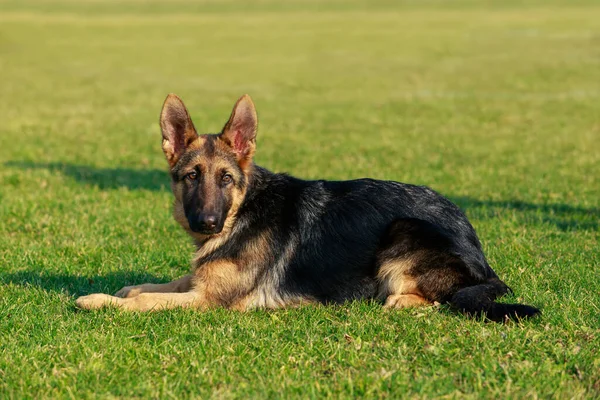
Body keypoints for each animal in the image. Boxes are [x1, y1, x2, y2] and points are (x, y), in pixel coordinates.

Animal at [75, 94, 540, 322]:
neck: (243, 213)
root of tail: (480, 255)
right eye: (191, 176)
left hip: (404, 230)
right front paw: (125, 289)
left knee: (439, 299)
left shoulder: (209, 300)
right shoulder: (201, 281)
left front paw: (98, 301)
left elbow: (147, 302)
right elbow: (155, 286)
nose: (208, 223)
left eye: (225, 178)